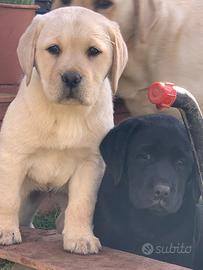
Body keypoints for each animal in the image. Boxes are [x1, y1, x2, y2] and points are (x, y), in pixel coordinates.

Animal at [0, 6, 127, 255]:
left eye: (94, 51)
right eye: (54, 49)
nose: (71, 77)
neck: (66, 113)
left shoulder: (90, 164)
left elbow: (82, 205)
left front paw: (80, 238)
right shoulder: (13, 158)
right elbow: (7, 199)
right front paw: (4, 231)